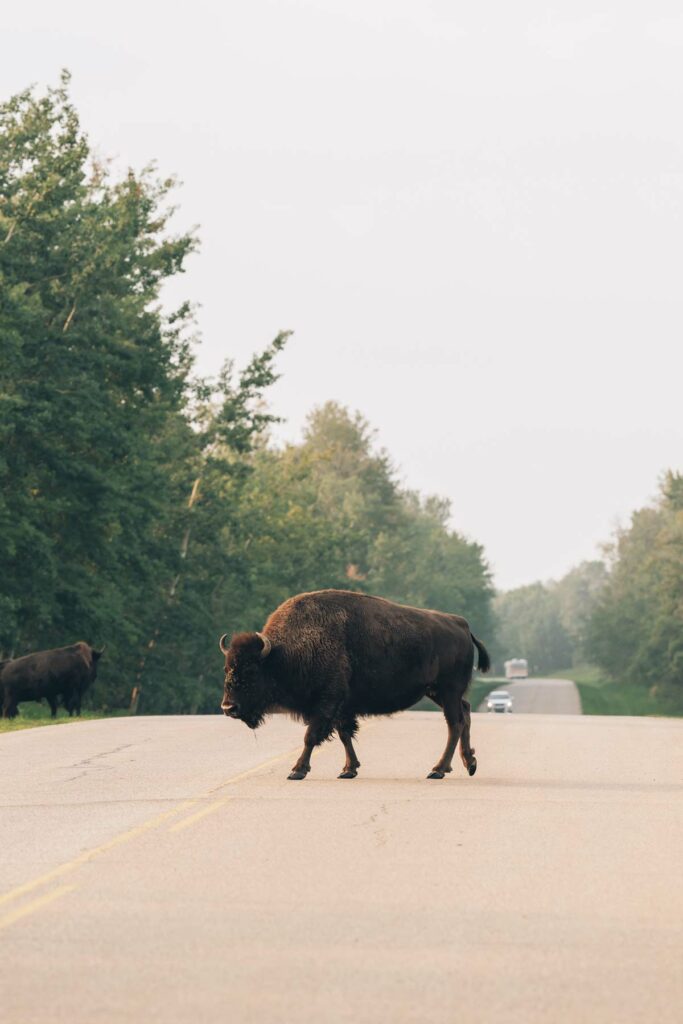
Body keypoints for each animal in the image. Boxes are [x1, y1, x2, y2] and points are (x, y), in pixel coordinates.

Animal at [216, 589, 489, 778]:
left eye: (251, 671)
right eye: (227, 669)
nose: (229, 708)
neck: (283, 654)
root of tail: (462, 624)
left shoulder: (327, 703)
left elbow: (311, 736)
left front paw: (297, 770)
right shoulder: (342, 707)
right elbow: (344, 734)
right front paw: (349, 769)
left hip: (448, 690)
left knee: (454, 724)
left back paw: (438, 769)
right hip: (436, 692)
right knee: (465, 713)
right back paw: (470, 763)